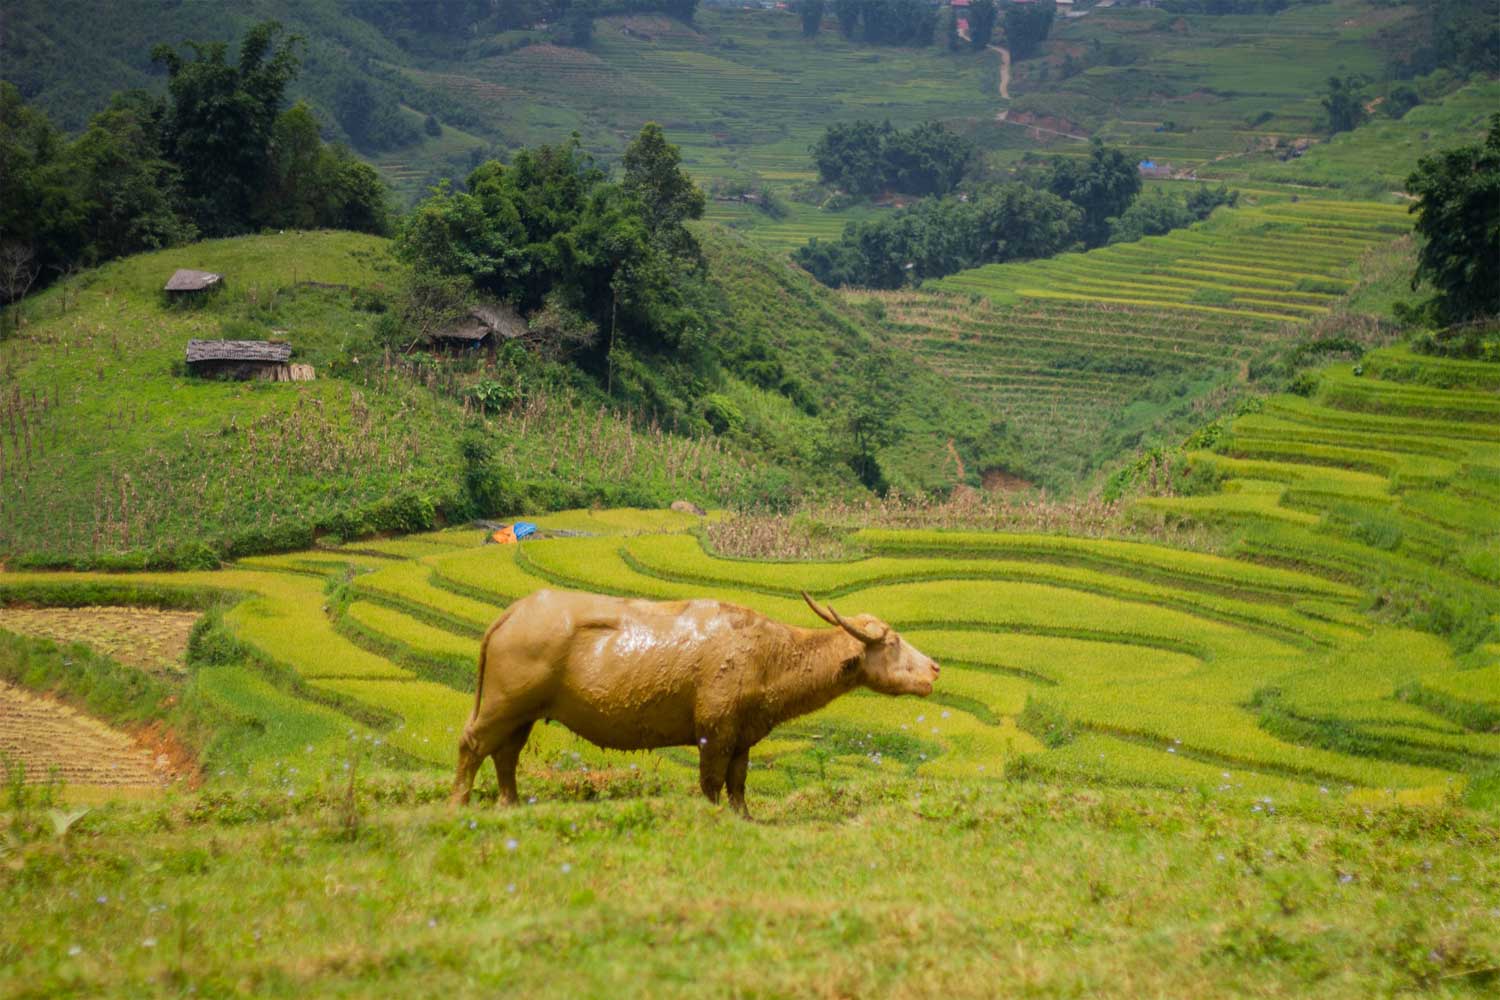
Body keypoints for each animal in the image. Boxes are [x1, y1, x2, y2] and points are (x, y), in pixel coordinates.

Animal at [447, 587, 936, 815]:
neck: (768, 655)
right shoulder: (712, 732)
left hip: (524, 713)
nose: (934, 669)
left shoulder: (742, 737)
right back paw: (459, 803)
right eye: (893, 642)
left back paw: (509, 804)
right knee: (473, 745)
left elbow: (738, 782)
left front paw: (744, 818)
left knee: (506, 754)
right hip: (502, 704)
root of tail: (513, 613)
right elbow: (711, 783)